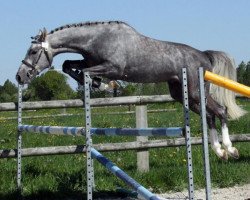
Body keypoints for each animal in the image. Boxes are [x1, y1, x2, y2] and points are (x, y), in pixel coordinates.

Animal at [16, 21, 246, 160]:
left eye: (33, 51)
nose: (20, 76)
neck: (96, 39)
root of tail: (204, 55)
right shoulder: (89, 61)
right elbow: (68, 66)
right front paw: (99, 85)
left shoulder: (112, 68)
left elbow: (87, 72)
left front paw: (105, 86)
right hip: (182, 94)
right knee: (210, 115)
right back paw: (219, 151)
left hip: (196, 91)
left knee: (220, 111)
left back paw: (230, 149)